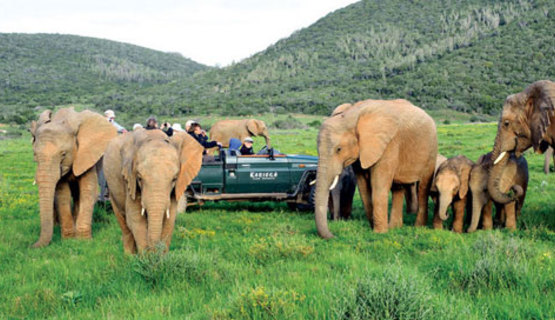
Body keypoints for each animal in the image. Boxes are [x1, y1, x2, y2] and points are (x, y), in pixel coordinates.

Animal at [29, 107, 117, 248]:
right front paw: (68, 240)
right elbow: (62, 194)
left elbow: (88, 191)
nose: (31, 246)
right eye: (35, 155)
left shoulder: (86, 154)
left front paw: (83, 241)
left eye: (63, 154)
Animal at [314, 99, 440, 238]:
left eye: (339, 149)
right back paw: (394, 227)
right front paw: (373, 228)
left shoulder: (388, 145)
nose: (334, 235)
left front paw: (379, 233)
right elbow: (363, 188)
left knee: (423, 187)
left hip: (431, 149)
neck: (351, 115)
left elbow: (379, 186)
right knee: (397, 188)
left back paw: (418, 227)